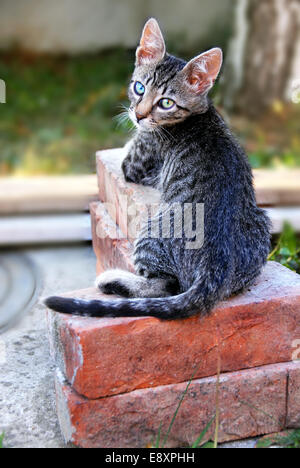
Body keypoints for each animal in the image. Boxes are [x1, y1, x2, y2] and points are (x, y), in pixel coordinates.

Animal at [45, 17, 272, 318]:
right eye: (139, 87)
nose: (139, 115)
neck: (199, 113)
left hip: (152, 232)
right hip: (262, 223)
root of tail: (215, 268)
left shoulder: (136, 163)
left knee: (164, 286)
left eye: (166, 102)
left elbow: (128, 152)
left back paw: (113, 280)